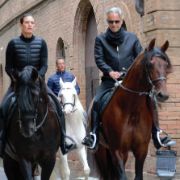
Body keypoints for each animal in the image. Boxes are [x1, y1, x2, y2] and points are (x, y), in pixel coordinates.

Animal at [94, 39, 172, 180]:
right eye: (150, 64)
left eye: (166, 65)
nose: (162, 95)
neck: (131, 110)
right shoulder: (117, 150)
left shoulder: (141, 150)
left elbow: (138, 175)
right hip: (102, 152)